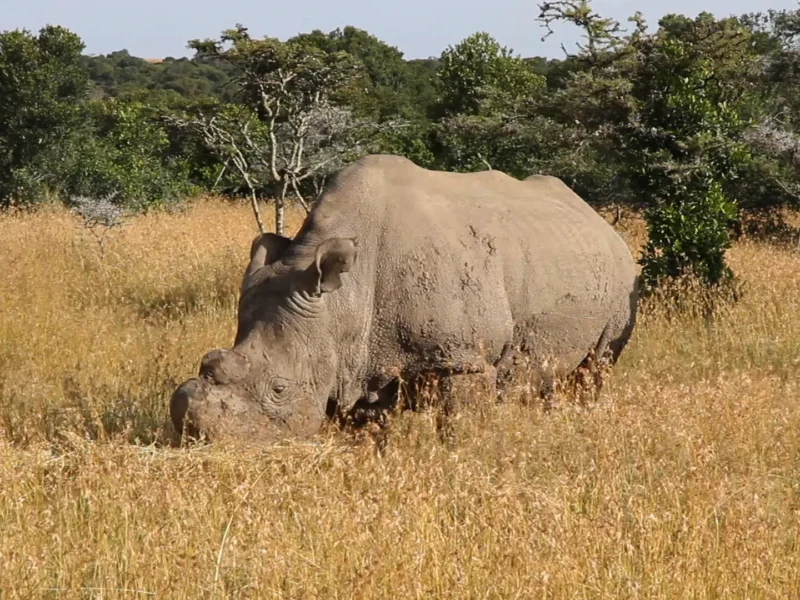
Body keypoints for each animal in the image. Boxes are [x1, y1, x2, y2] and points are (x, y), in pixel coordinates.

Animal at [170, 154, 638, 443]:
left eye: (280, 389)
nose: (199, 439)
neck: (345, 300)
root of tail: (598, 219)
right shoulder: (357, 357)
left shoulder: (465, 357)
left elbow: (459, 427)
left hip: (622, 276)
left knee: (596, 366)